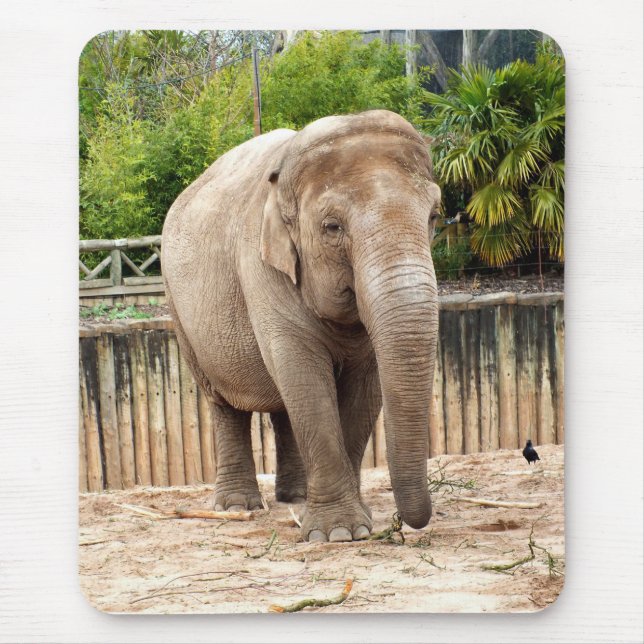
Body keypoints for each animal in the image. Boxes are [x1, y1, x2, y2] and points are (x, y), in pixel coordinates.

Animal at [161, 109, 442, 542]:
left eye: (434, 216)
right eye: (332, 227)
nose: (408, 521)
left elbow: (364, 385)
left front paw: (353, 523)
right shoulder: (260, 266)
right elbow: (303, 373)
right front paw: (339, 534)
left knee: (282, 404)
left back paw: (295, 498)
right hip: (179, 309)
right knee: (224, 402)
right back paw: (237, 506)